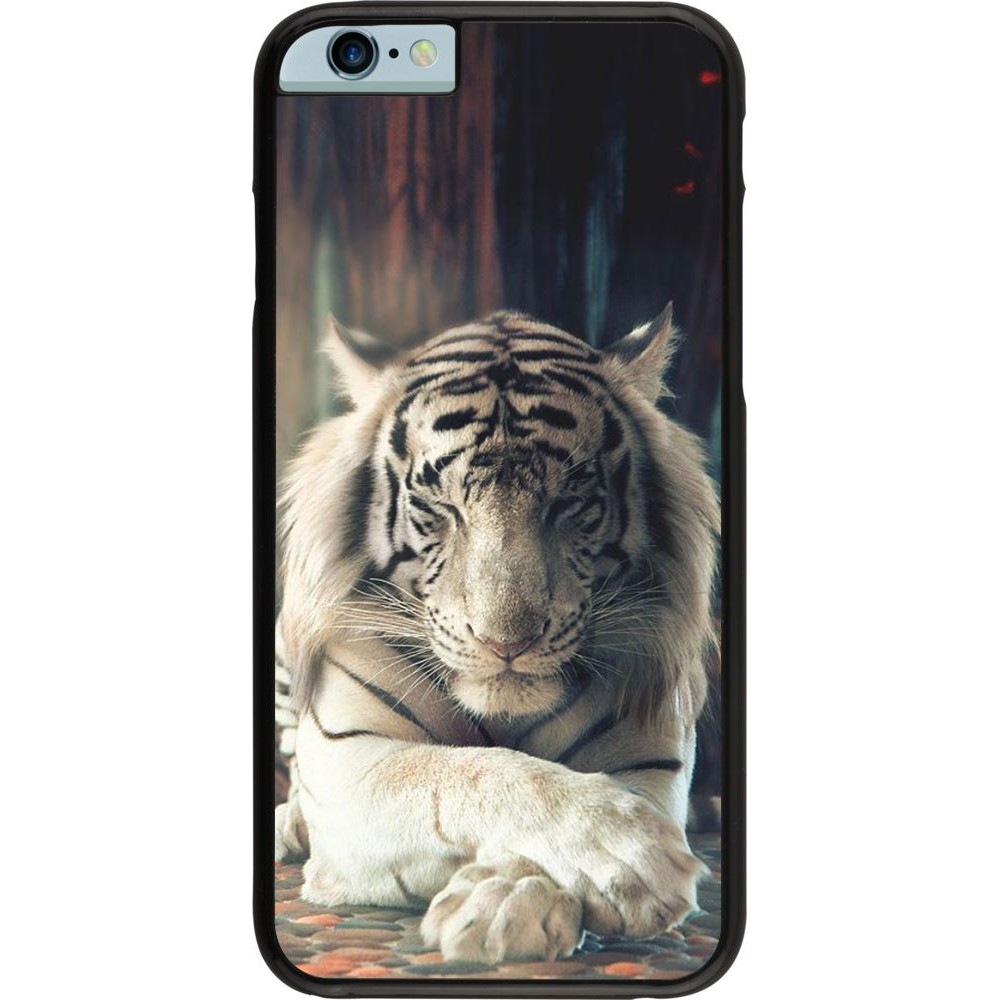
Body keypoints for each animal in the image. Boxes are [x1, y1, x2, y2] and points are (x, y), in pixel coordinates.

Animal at [274, 304, 720, 965]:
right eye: (440, 506)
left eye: (570, 502)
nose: (506, 643)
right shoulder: (350, 758)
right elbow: (472, 771)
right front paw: (628, 854)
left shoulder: (650, 758)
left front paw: (507, 902)